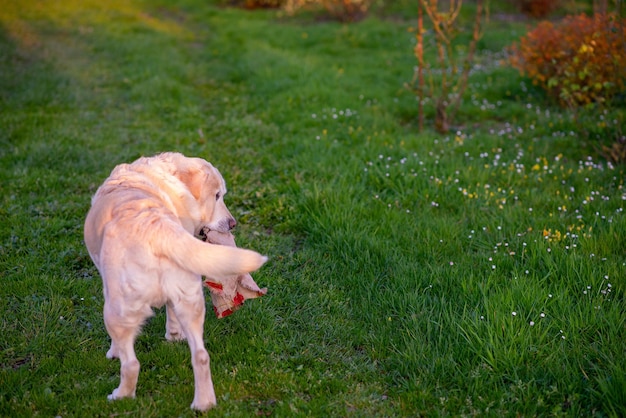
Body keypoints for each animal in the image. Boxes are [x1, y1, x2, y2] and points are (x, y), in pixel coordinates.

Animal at [83, 152, 266, 410]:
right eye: (217, 195)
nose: (233, 224)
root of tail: (155, 227)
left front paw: (113, 352)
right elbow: (171, 312)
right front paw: (174, 336)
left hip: (116, 311)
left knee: (131, 364)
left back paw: (120, 395)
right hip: (192, 301)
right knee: (201, 355)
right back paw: (203, 404)